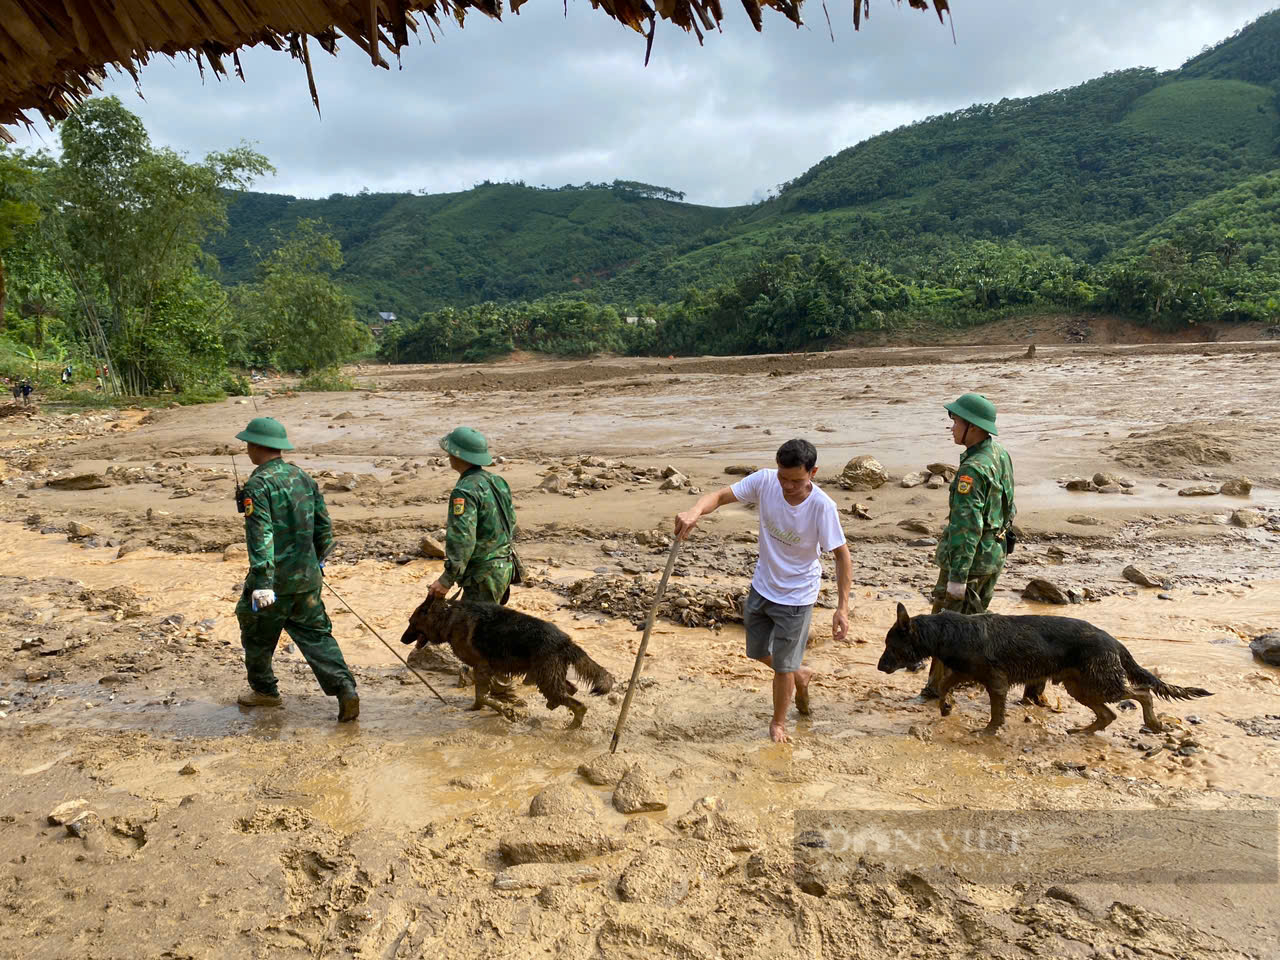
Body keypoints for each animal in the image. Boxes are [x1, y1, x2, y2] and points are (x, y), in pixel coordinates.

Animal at [401, 593, 616, 727]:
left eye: (411, 623)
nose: (402, 640)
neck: (447, 617)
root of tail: (565, 640)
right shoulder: (485, 670)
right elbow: (482, 696)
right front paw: (481, 708)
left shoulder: (481, 668)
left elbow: (482, 696)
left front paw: (501, 709)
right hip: (548, 676)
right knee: (570, 689)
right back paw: (554, 706)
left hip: (547, 680)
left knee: (578, 704)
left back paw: (572, 726)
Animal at [880, 604, 1208, 742]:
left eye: (890, 645)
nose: (879, 666)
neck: (944, 632)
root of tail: (1114, 640)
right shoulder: (966, 673)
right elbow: (945, 685)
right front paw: (945, 707)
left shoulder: (996, 682)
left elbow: (995, 713)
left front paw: (988, 731)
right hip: (1081, 687)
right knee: (1108, 714)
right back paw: (1083, 731)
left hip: (1102, 683)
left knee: (1143, 693)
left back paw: (1153, 723)